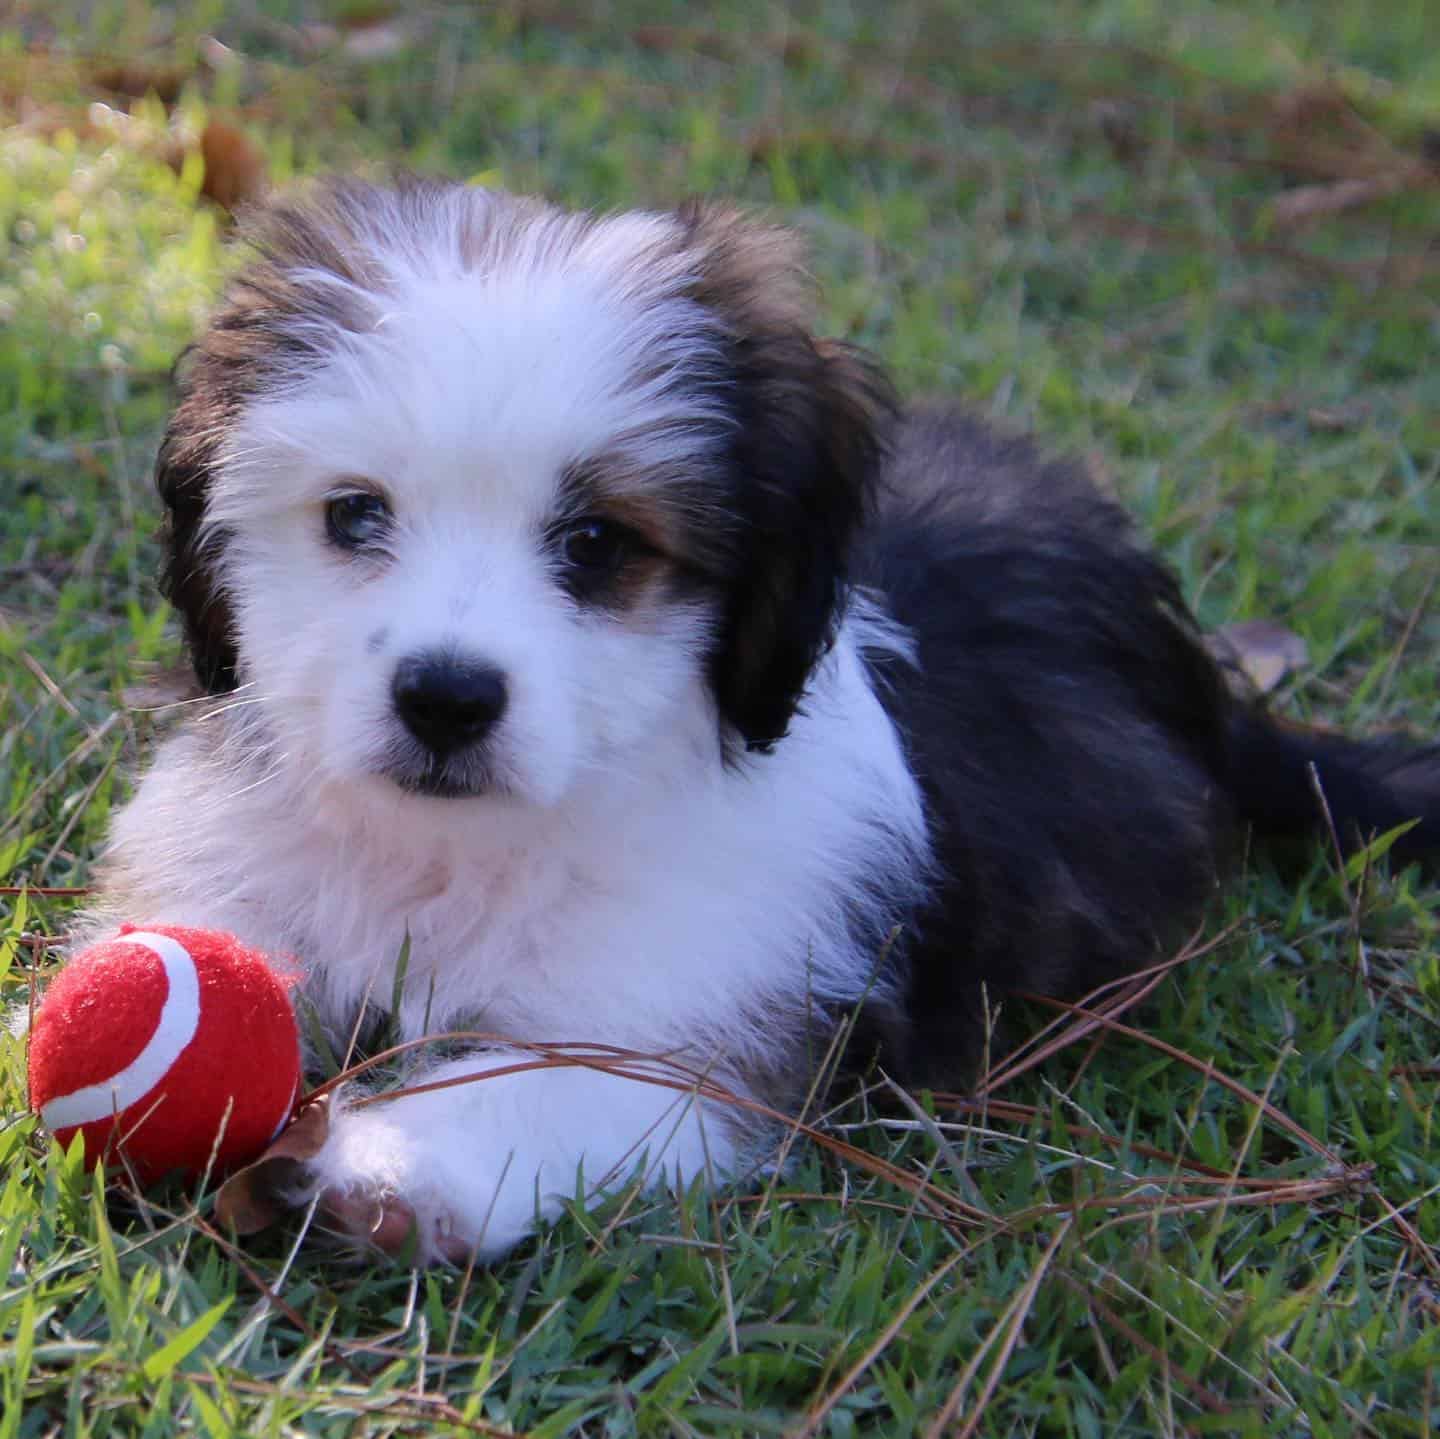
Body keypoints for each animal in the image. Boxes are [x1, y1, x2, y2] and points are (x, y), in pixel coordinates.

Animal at [81, 177, 1440, 1261]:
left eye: (598, 542)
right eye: (355, 513)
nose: (446, 696)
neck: (456, 848)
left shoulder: (690, 1022)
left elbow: (555, 1079)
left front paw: (382, 1166)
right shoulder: (236, 878)